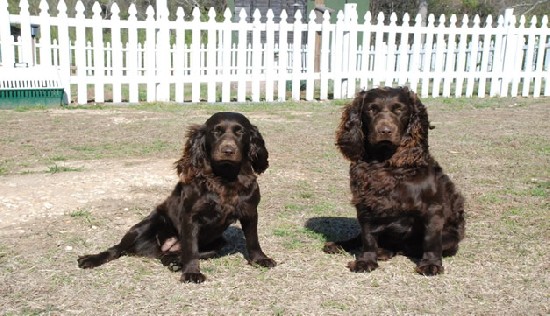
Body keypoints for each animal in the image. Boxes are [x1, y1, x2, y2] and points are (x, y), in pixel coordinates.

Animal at [77, 112, 276, 282]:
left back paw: (174, 262)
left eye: (240, 131)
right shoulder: (190, 216)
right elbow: (191, 248)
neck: (225, 177)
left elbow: (253, 239)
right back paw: (91, 259)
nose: (228, 150)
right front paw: (192, 273)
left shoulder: (250, 211)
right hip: (143, 226)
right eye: (216, 131)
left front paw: (260, 259)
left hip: (218, 243)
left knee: (170, 255)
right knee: (117, 248)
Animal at [326, 87, 468, 276]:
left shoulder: (433, 207)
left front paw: (431, 264)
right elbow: (367, 237)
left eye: (399, 109)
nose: (385, 131)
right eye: (372, 109)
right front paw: (366, 261)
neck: (385, 161)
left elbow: (431, 239)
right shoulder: (365, 202)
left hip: (451, 235)